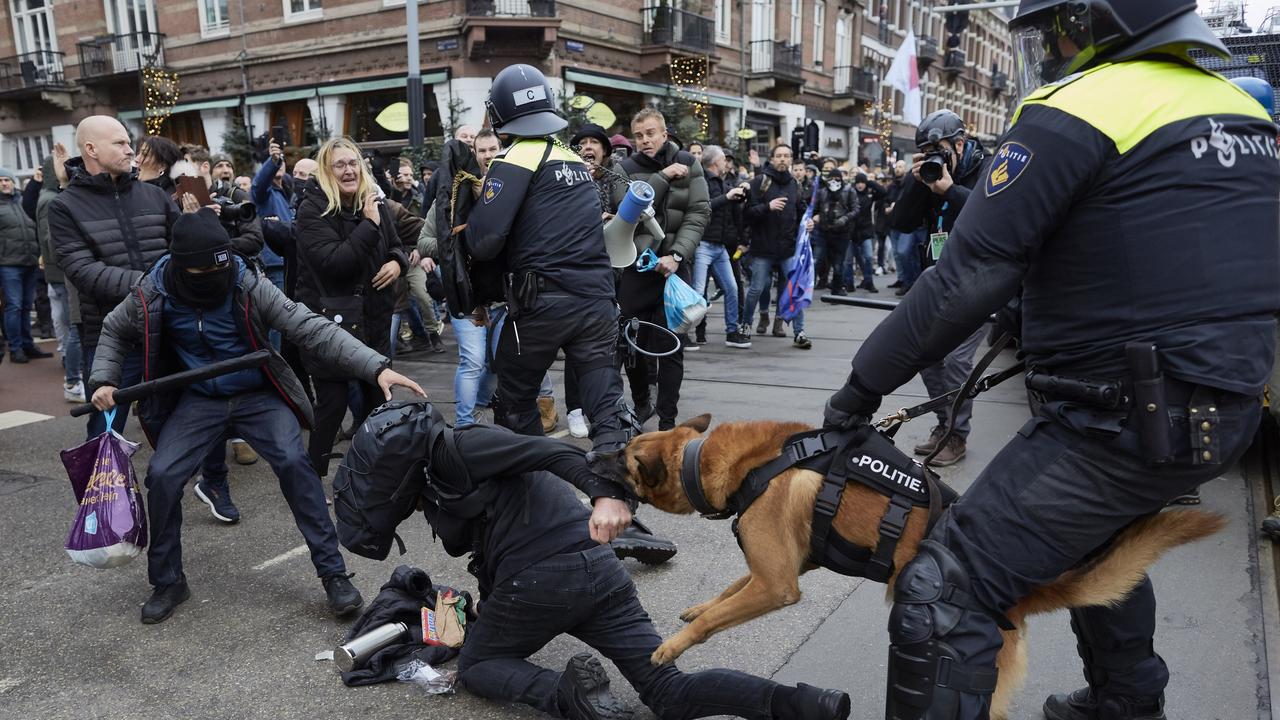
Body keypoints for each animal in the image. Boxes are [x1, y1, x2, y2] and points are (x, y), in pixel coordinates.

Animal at [619, 415, 1228, 717]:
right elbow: (725, 592)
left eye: (623, 457)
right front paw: (696, 608)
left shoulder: (778, 584)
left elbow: (715, 617)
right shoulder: (778, 571)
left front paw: (670, 649)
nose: (595, 457)